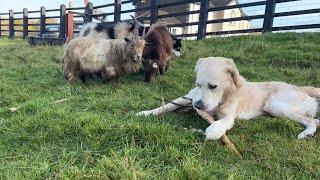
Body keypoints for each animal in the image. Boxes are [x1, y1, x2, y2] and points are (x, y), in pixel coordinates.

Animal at [136, 57, 320, 140]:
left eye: (213, 86)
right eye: (198, 84)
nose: (199, 106)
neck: (223, 96)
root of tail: (300, 87)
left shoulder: (228, 116)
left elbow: (223, 122)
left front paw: (214, 130)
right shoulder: (188, 98)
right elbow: (165, 106)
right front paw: (146, 113)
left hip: (276, 105)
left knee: (312, 120)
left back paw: (306, 133)